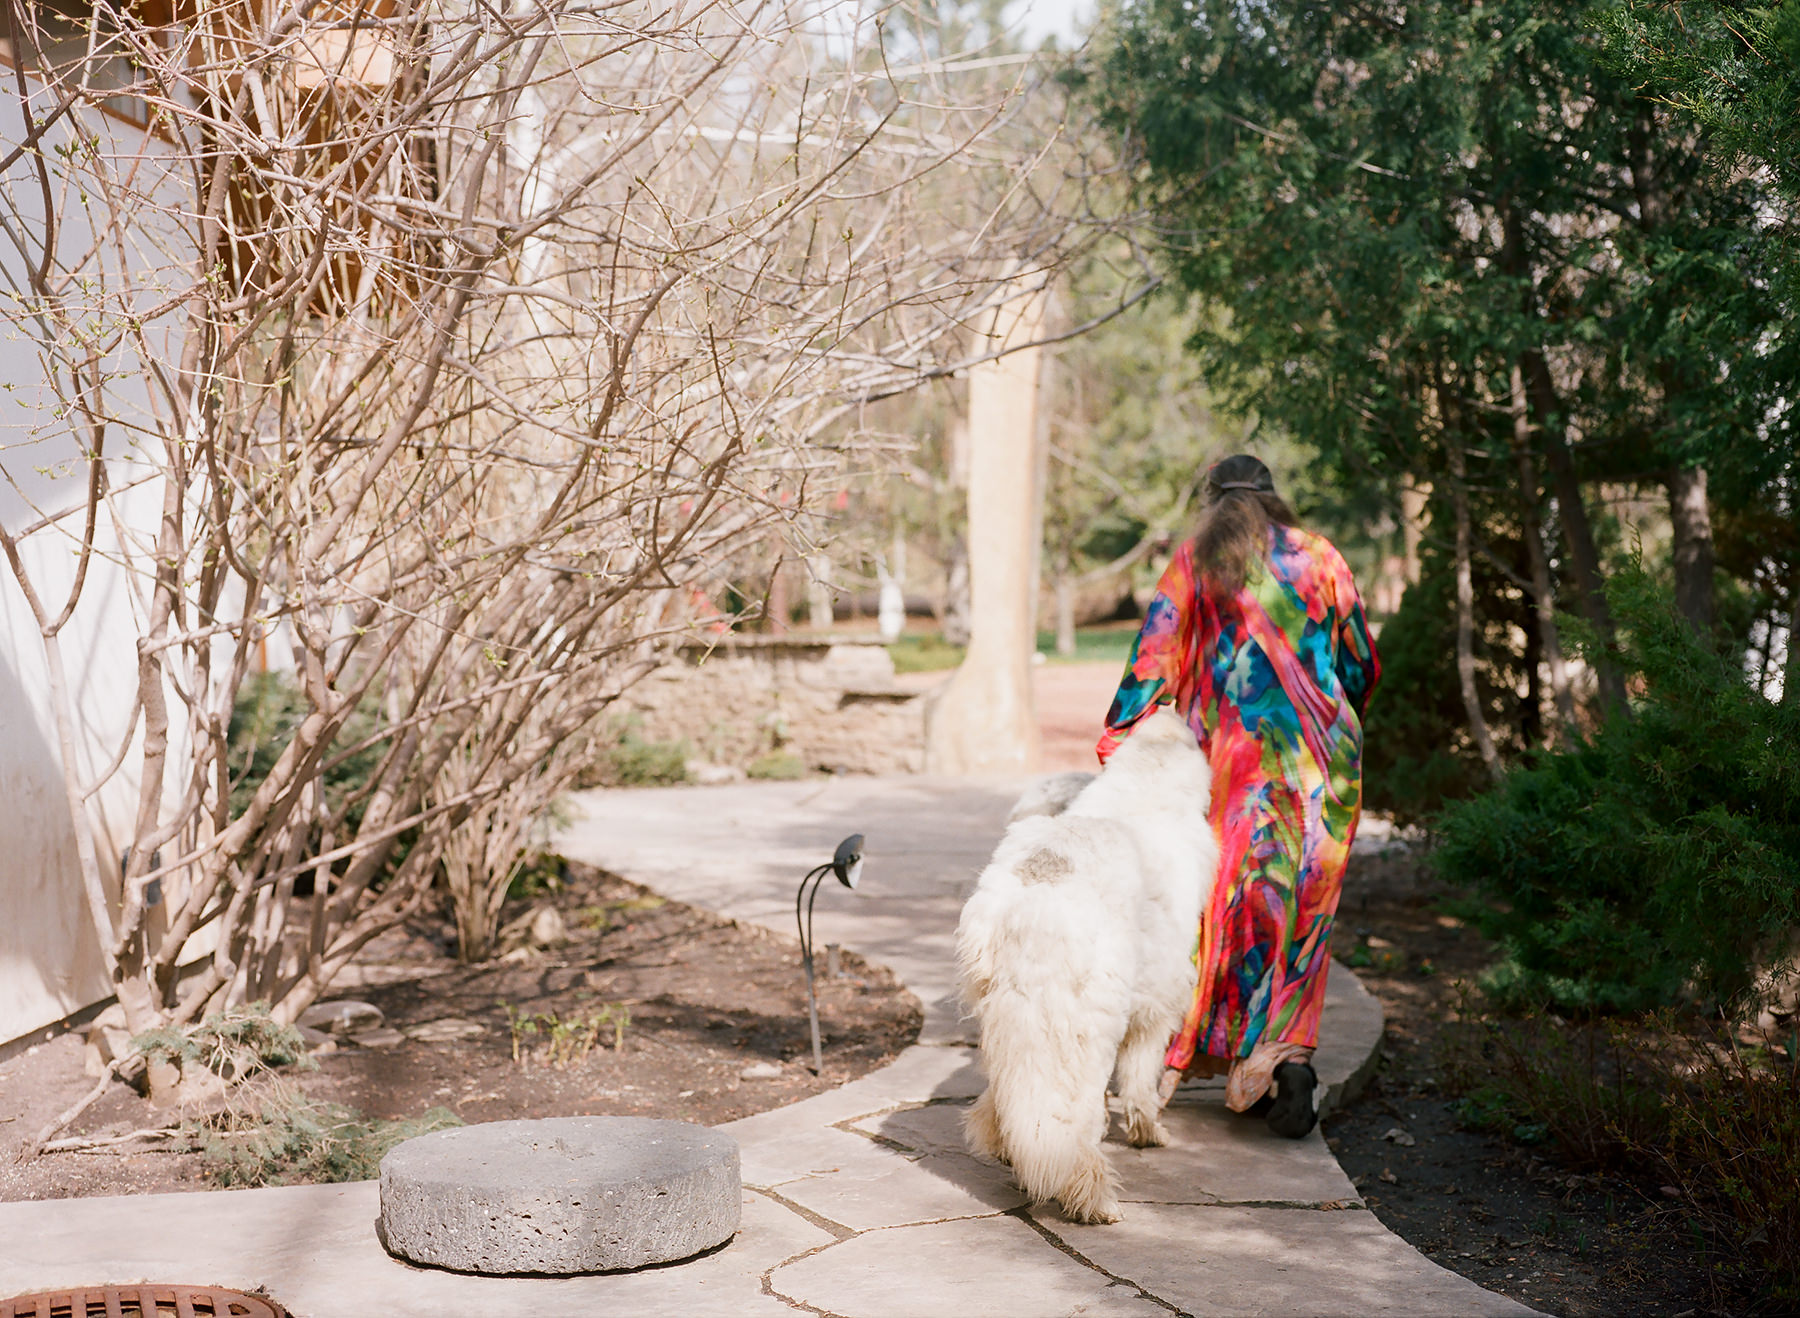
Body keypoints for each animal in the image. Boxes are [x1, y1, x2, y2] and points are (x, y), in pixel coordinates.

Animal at [950, 709, 1216, 1224]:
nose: (1167, 706)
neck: (1144, 786)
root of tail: (1033, 902)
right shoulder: (1157, 1005)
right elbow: (1141, 1079)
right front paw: (1149, 1133)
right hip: (1083, 1036)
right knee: (1067, 1125)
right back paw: (1094, 1201)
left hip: (1009, 1022)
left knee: (1012, 1104)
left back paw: (1007, 1152)